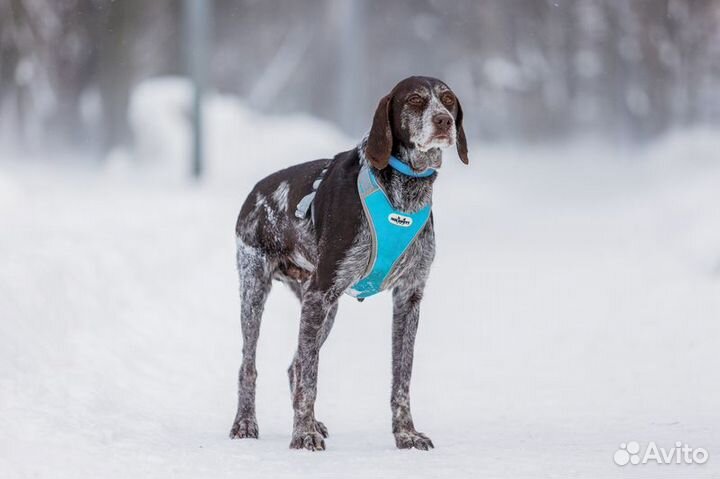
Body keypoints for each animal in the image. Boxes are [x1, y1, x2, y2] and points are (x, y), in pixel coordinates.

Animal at [228, 77, 470, 452]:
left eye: (447, 100)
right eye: (415, 100)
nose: (443, 120)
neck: (405, 191)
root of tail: (255, 192)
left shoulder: (408, 297)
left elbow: (402, 378)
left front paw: (406, 433)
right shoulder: (320, 293)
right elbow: (310, 378)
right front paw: (303, 434)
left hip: (323, 308)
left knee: (296, 365)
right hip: (259, 291)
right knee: (251, 365)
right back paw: (246, 423)